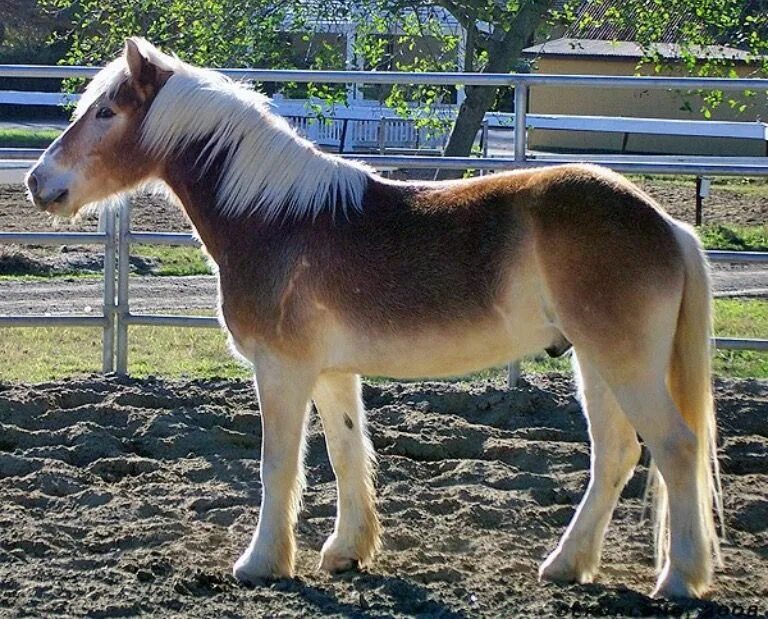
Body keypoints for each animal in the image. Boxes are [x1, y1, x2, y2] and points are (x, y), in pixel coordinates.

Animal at [24, 38, 720, 600]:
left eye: (106, 112)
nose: (37, 182)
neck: (274, 217)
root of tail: (666, 224)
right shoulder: (332, 373)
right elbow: (346, 453)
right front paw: (346, 552)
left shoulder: (282, 370)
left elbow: (278, 464)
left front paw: (261, 563)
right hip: (595, 363)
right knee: (617, 455)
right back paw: (566, 565)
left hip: (622, 362)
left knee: (676, 447)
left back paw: (678, 578)